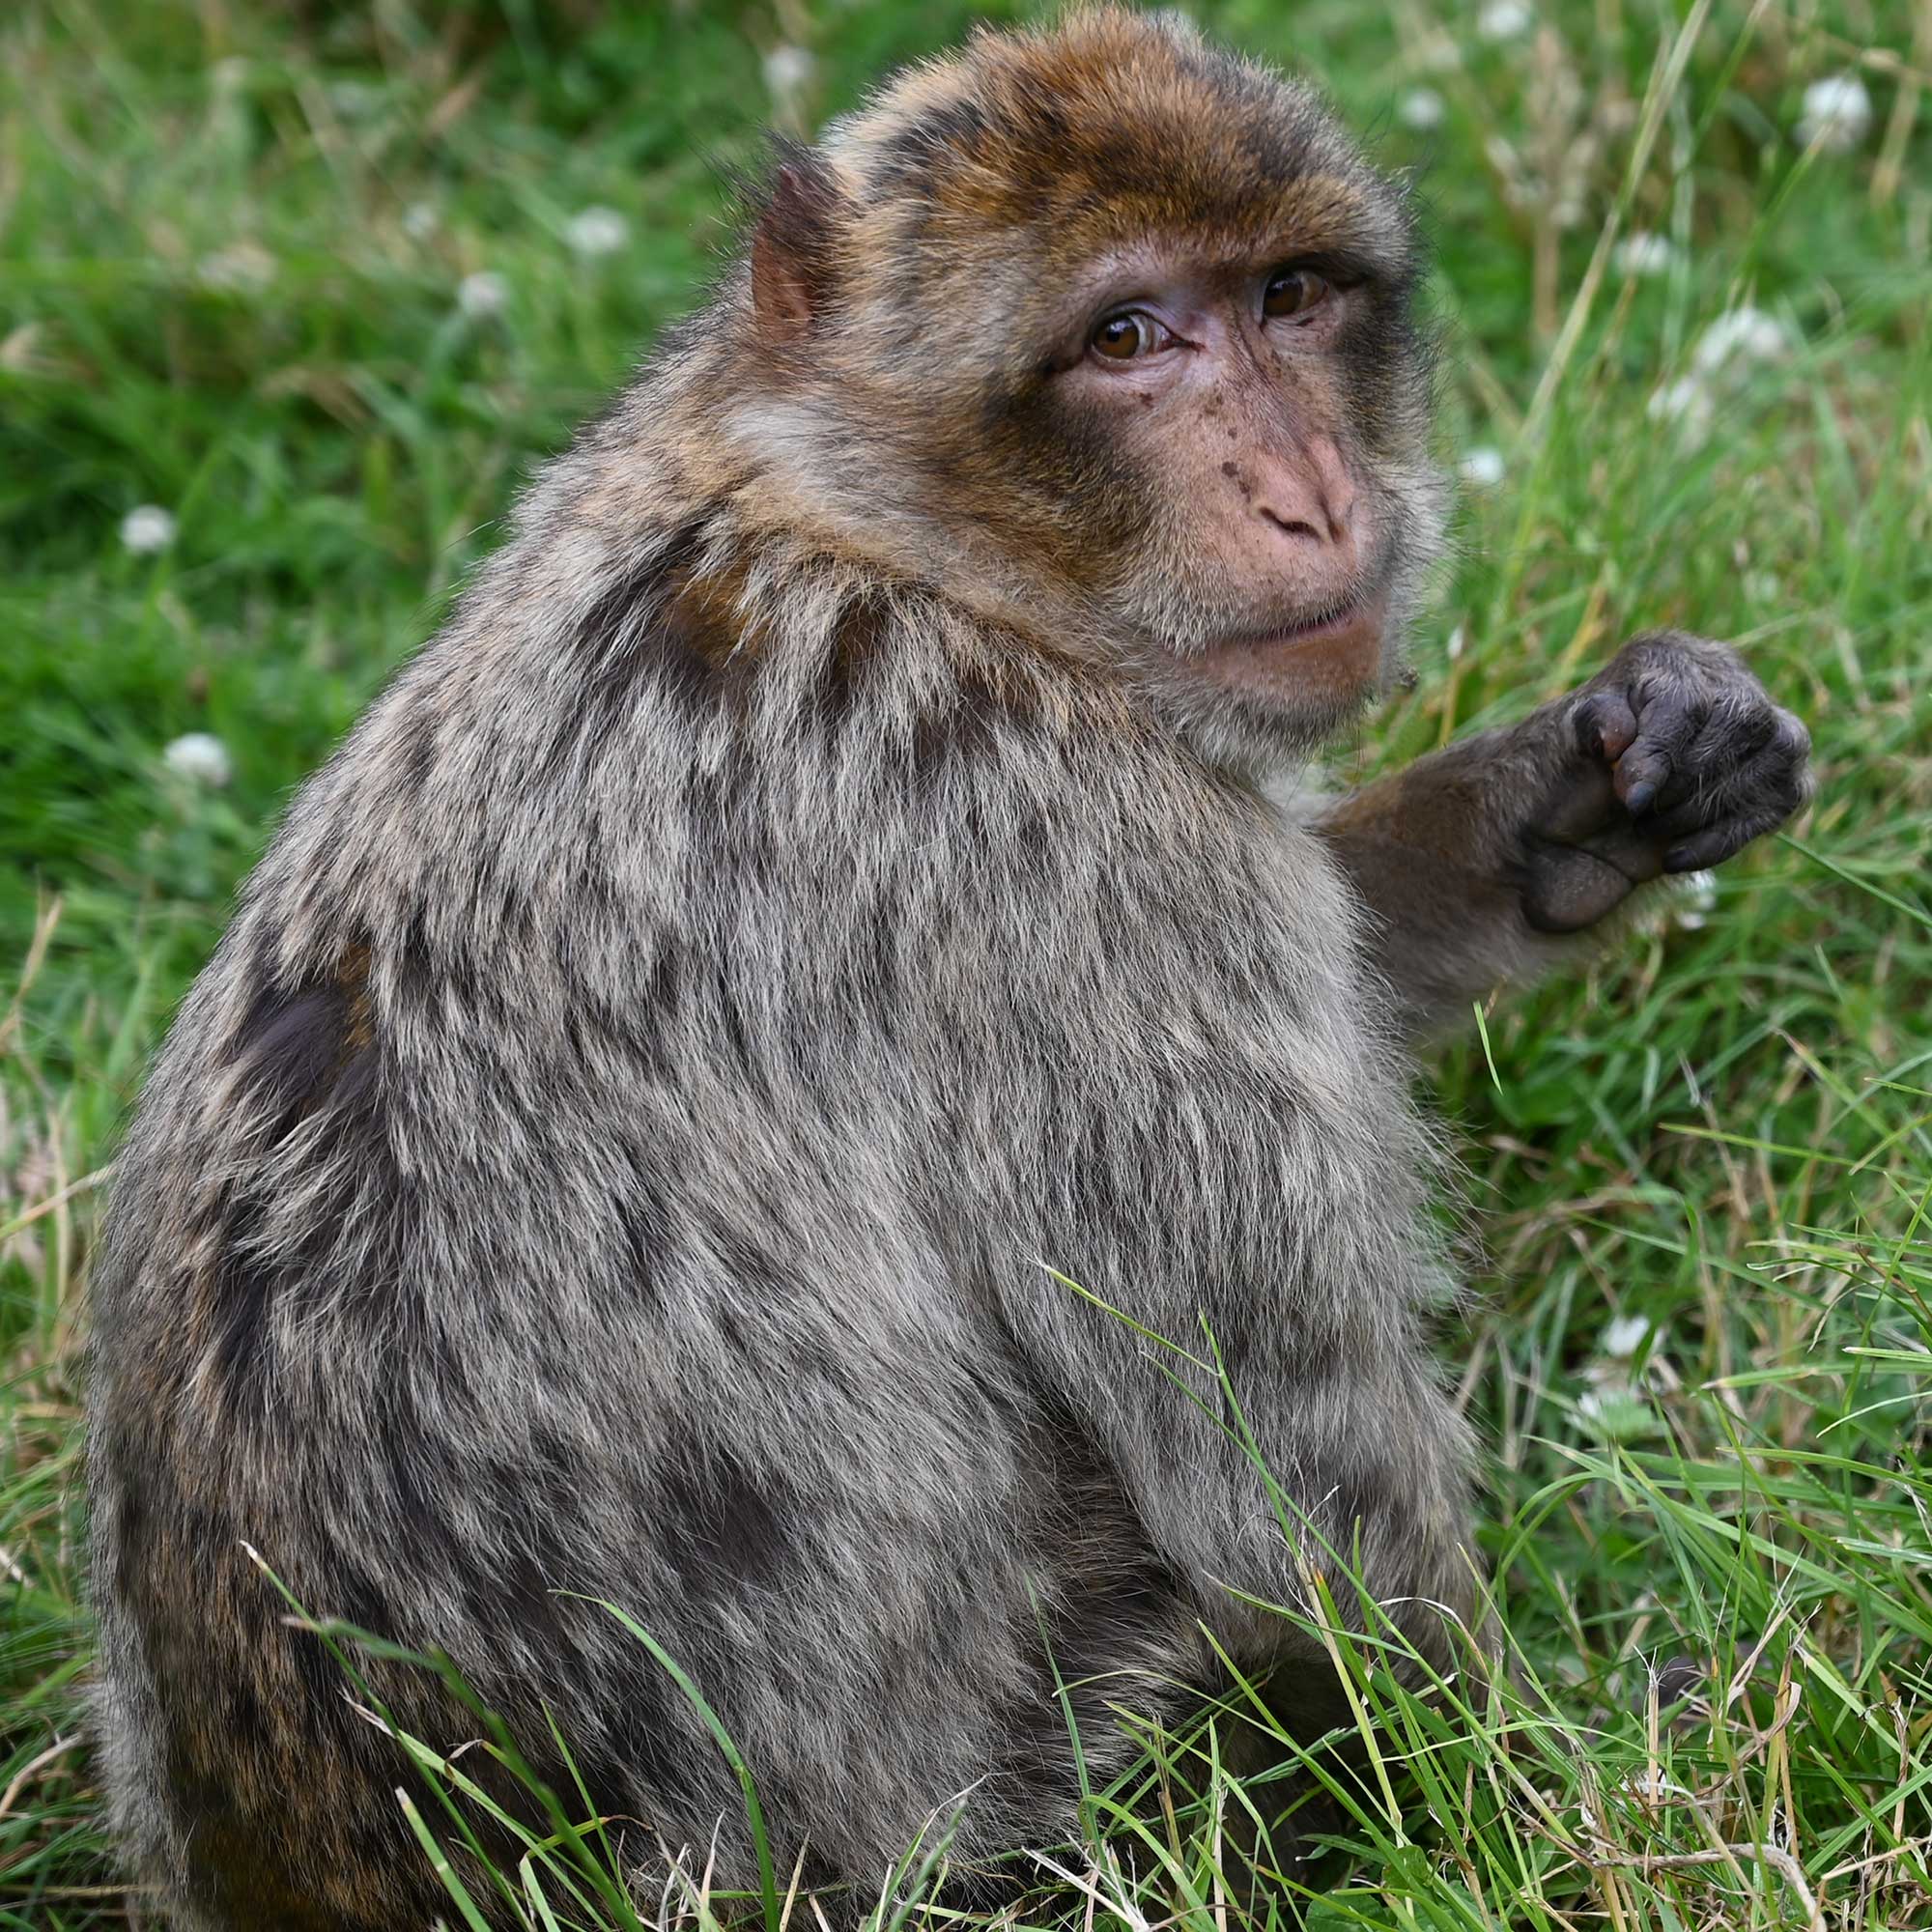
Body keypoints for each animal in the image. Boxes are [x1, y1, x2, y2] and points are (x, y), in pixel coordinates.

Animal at [86, 10, 1812, 1928]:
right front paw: (1545, 1794)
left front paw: (1589, 790)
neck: (877, 528)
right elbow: (1289, 1478)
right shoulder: (1053, 844)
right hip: (1045, 1797)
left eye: (1289, 296)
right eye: (1129, 338)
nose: (1310, 497)